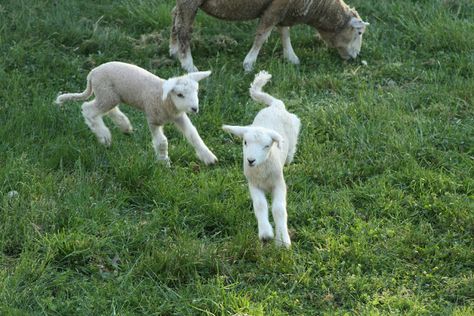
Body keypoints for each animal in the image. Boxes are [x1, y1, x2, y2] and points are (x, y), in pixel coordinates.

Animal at [55, 60, 217, 167]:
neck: (166, 101)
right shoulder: (153, 118)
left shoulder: (179, 116)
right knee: (88, 109)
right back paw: (105, 137)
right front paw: (164, 163)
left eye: (196, 91)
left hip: (110, 96)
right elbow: (162, 142)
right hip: (106, 94)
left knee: (108, 110)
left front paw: (209, 157)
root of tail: (92, 73)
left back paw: (124, 126)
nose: (195, 109)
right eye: (180, 95)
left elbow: (193, 135)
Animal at [170, 0, 370, 72]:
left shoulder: (284, 10)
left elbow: (284, 33)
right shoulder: (275, 8)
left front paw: (291, 57)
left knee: (175, 17)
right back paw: (188, 64)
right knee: (183, 30)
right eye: (359, 32)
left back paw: (174, 51)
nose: (356, 56)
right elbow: (262, 35)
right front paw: (249, 64)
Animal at [221, 71, 300, 247]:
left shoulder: (279, 183)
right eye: (245, 142)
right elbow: (260, 205)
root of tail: (276, 106)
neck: (262, 171)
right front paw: (266, 234)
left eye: (267, 146)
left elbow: (278, 209)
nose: (250, 160)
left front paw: (282, 240)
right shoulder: (254, 184)